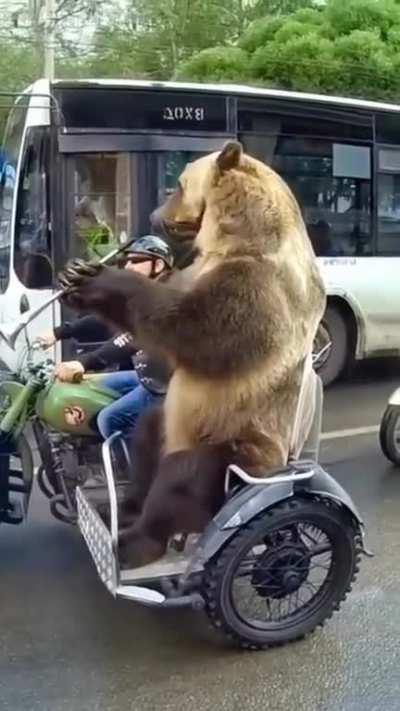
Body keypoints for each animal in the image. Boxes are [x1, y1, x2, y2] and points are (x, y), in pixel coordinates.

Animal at [59, 141, 326, 568]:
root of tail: (285, 466)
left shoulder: (261, 288)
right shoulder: (200, 269)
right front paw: (74, 277)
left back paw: (134, 541)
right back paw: (126, 506)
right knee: (148, 437)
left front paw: (97, 279)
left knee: (183, 479)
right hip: (173, 422)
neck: (238, 236)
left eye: (179, 184)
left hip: (238, 444)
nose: (154, 215)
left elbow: (196, 331)